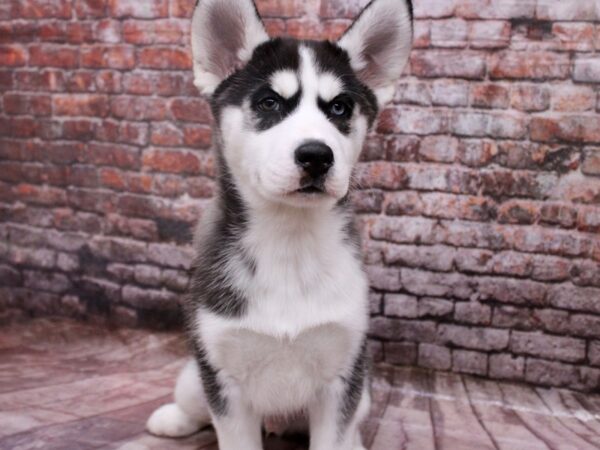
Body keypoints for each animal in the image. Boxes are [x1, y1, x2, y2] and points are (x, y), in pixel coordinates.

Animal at [148, 1, 414, 448]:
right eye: (269, 102)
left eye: (340, 108)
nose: (316, 156)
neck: (290, 241)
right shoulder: (224, 378)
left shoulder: (342, 377)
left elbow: (334, 437)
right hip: (195, 374)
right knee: (192, 402)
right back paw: (173, 419)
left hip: (362, 390)